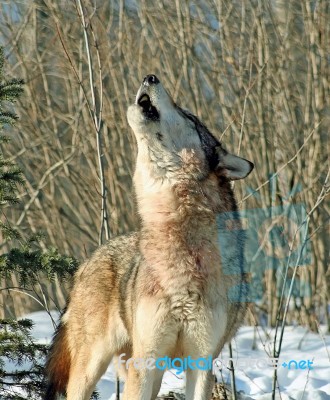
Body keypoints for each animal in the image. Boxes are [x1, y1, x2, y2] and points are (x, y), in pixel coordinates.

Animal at [45, 73, 254, 398]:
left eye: (188, 116)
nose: (150, 77)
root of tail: (90, 258)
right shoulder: (146, 360)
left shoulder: (200, 361)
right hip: (92, 367)